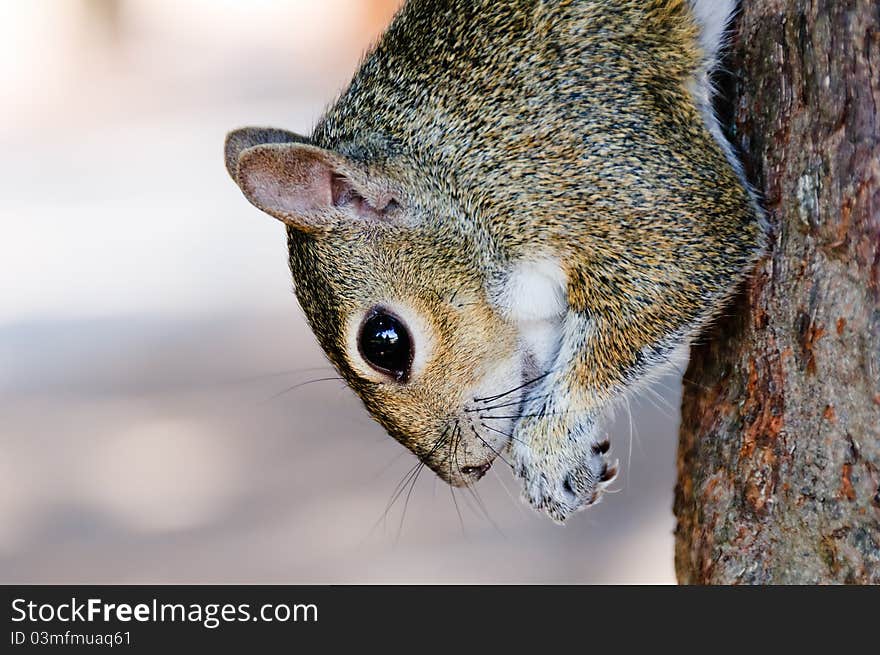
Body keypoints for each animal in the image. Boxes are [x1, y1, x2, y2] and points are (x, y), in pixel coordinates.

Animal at [225, 0, 764, 524]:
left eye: (384, 343)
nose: (463, 472)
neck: (458, 172)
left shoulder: (602, 169)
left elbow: (676, 266)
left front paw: (550, 449)